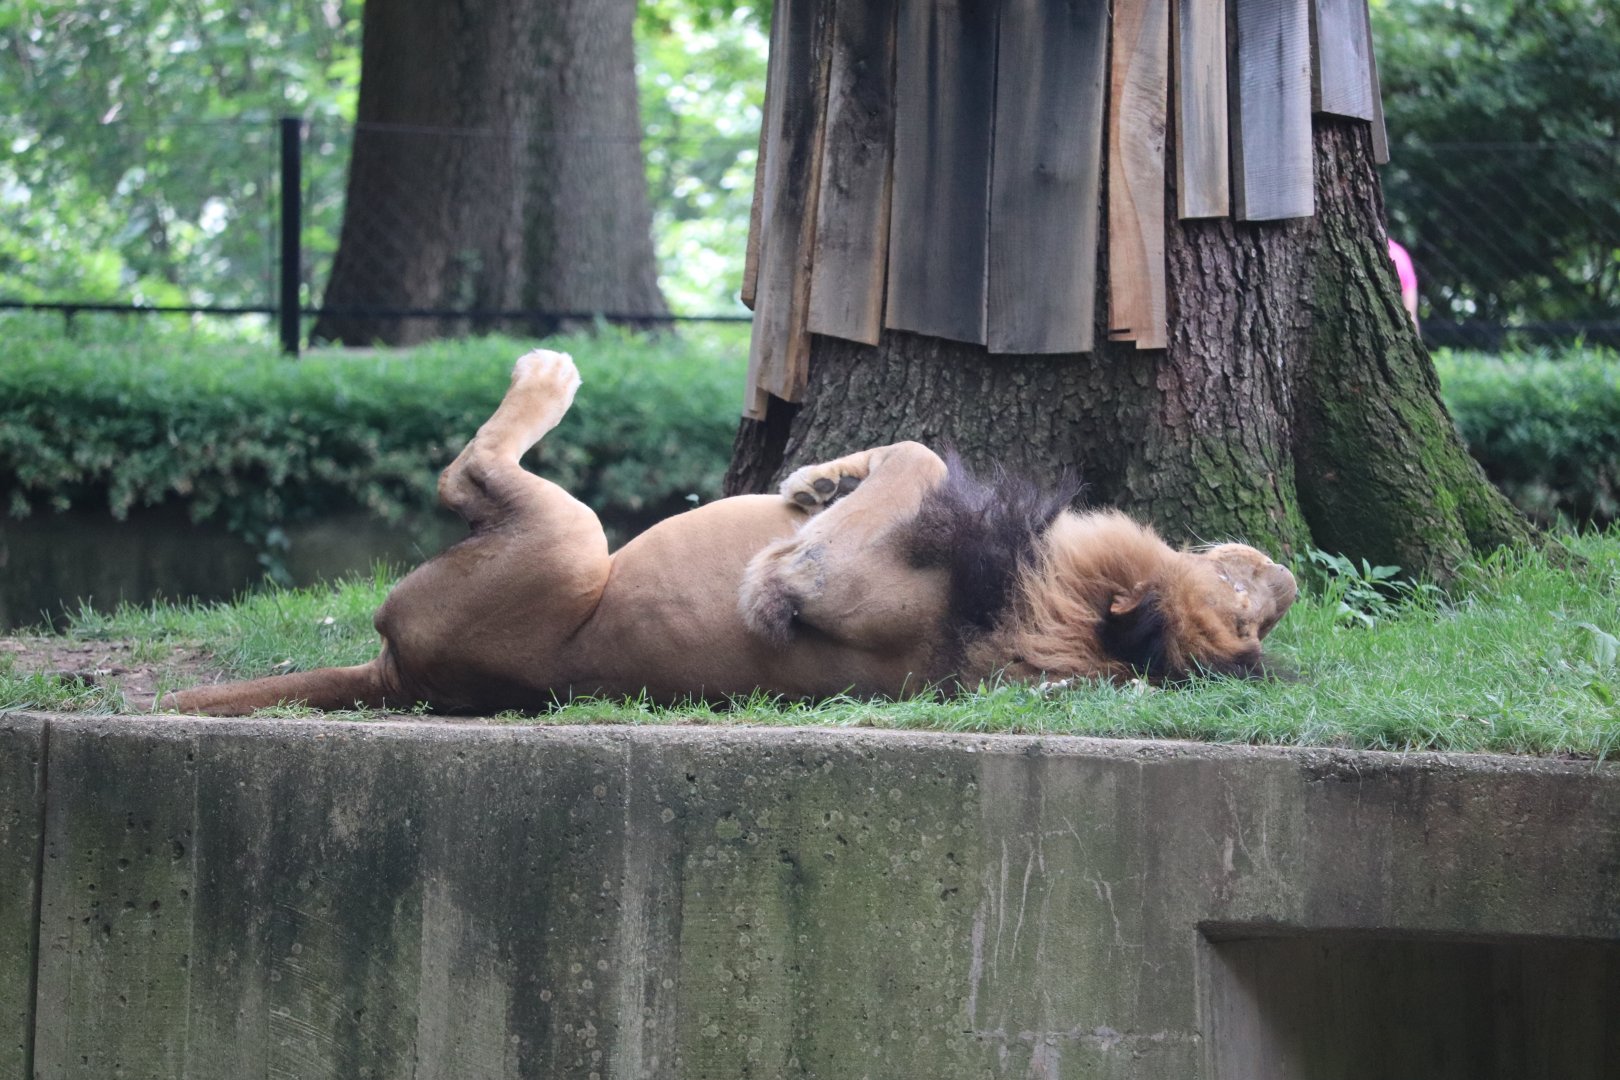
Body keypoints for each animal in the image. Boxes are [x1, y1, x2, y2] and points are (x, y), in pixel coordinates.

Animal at [163, 349, 1297, 716]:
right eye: (1255, 611)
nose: (1288, 579)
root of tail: (401, 675)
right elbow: (920, 448)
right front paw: (820, 475)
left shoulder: (817, 579)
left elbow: (920, 458)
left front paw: (814, 479)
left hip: (571, 542)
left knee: (469, 471)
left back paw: (548, 371)